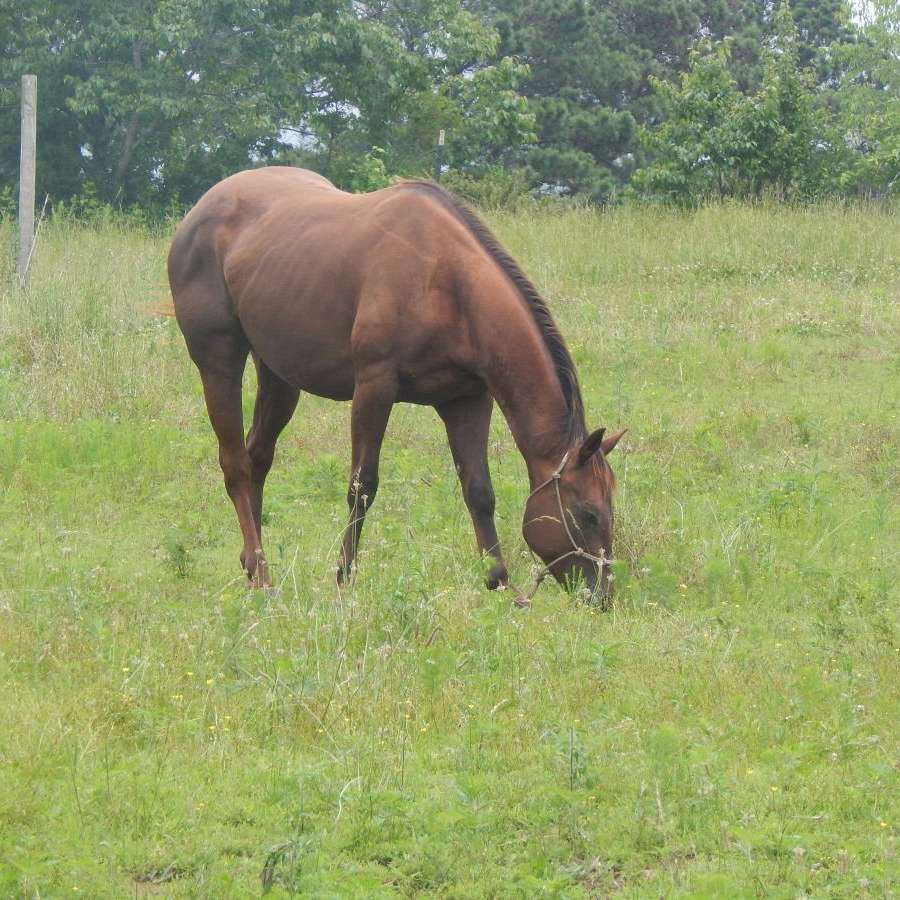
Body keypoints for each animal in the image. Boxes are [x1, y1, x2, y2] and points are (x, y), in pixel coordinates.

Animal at [165, 169, 624, 604]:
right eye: (587, 513)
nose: (602, 596)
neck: (446, 282)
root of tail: (199, 211)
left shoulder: (467, 400)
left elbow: (479, 490)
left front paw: (499, 583)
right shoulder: (375, 386)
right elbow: (362, 487)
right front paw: (344, 581)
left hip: (279, 377)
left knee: (258, 458)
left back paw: (252, 563)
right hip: (219, 361)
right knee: (236, 463)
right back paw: (263, 577)